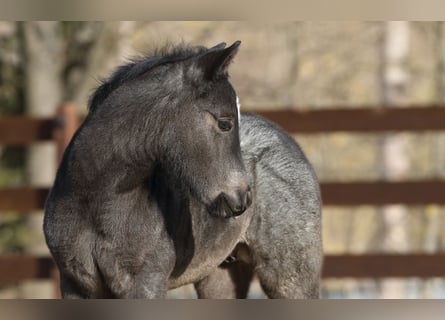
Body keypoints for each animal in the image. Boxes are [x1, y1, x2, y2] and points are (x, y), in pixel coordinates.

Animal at [43, 41, 320, 298]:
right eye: (225, 123)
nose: (242, 198)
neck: (95, 205)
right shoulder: (76, 284)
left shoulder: (146, 282)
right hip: (220, 275)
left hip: (290, 275)